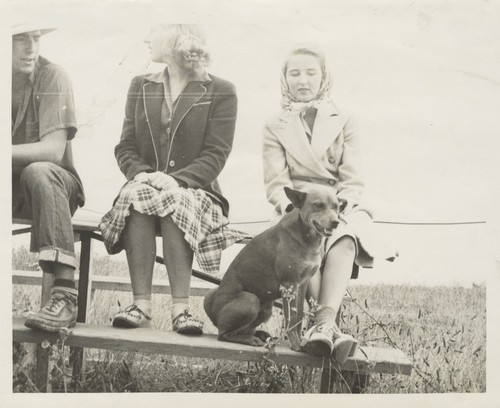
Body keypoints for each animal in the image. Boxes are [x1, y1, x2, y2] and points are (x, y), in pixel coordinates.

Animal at [203, 186, 340, 350]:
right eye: (318, 205)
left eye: (337, 207)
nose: (336, 222)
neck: (307, 237)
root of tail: (214, 315)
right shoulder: (289, 285)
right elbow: (292, 317)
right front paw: (295, 344)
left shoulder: (302, 285)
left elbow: (299, 315)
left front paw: (300, 340)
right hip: (251, 300)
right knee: (224, 334)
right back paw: (250, 339)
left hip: (267, 308)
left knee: (243, 329)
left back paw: (258, 334)